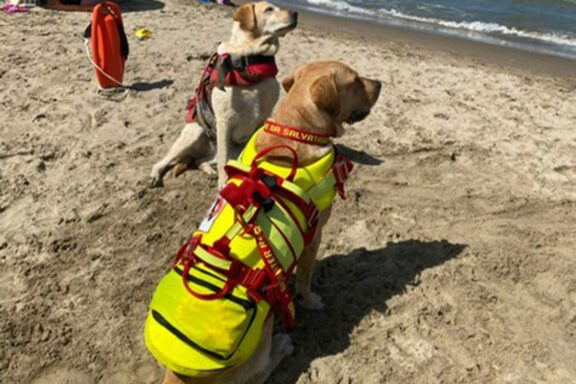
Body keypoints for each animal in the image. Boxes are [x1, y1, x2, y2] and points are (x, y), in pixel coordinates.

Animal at [150, 1, 296, 188]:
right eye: (269, 9)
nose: (295, 14)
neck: (250, 62)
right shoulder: (224, 120)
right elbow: (223, 160)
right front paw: (223, 184)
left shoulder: (264, 117)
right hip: (194, 132)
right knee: (166, 161)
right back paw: (156, 174)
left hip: (228, 149)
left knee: (200, 161)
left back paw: (209, 171)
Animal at [159, 61, 382, 382]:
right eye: (354, 81)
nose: (380, 84)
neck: (296, 129)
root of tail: (177, 375)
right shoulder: (315, 235)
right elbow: (305, 279)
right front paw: (309, 301)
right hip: (261, 332)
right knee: (260, 371)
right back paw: (282, 346)